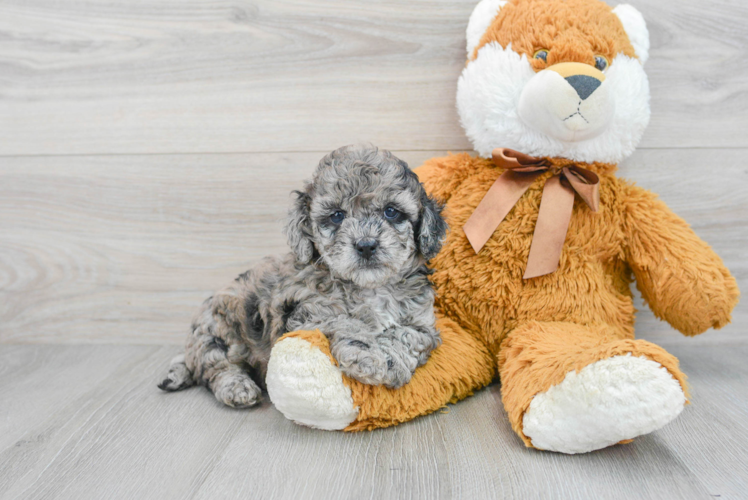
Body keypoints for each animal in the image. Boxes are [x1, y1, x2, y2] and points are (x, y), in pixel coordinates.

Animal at [159, 146, 448, 410]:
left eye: (391, 211)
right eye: (337, 216)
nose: (366, 245)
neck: (371, 288)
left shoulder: (423, 323)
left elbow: (406, 335)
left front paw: (391, 360)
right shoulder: (309, 313)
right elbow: (346, 323)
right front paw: (368, 357)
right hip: (218, 330)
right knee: (216, 367)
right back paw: (237, 388)